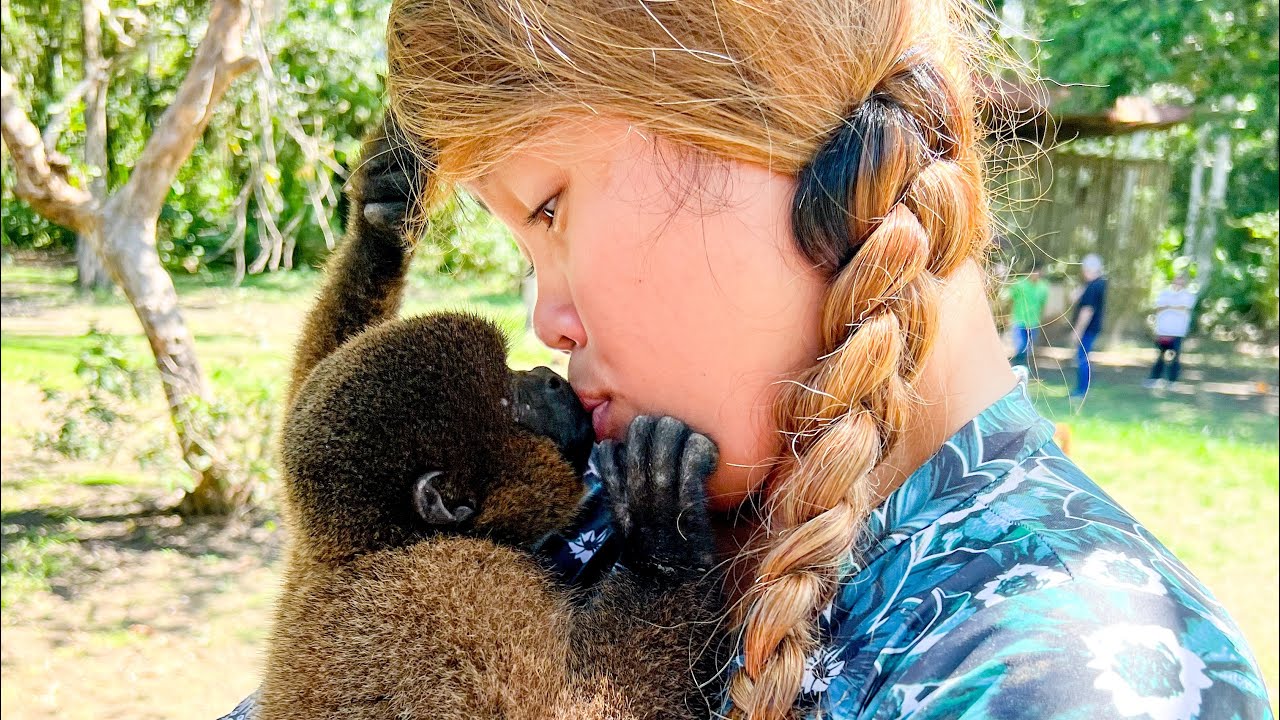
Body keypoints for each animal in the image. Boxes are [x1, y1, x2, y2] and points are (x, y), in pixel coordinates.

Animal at [258, 118, 727, 720]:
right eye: (513, 404)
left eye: (513, 371)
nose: (549, 377)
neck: (382, 542)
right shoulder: (452, 595)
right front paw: (661, 532)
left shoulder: (306, 549)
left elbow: (307, 386)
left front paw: (381, 215)